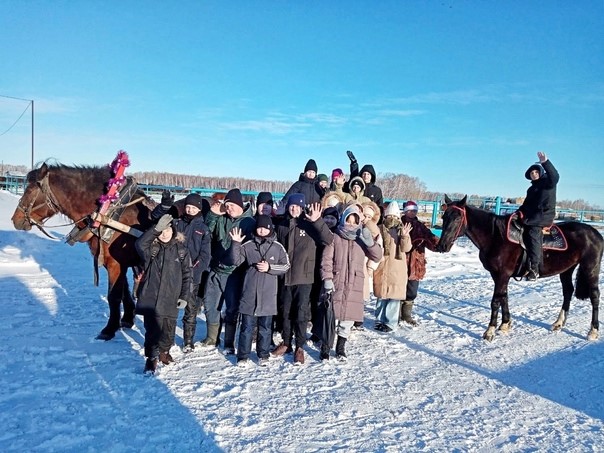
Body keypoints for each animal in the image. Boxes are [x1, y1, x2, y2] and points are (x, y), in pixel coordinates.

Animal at [11, 162, 156, 340]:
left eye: (31, 190)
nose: (15, 219)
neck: (110, 215)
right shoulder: (118, 264)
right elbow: (124, 292)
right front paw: (127, 319)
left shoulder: (115, 264)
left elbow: (114, 296)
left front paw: (109, 329)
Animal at [436, 194, 600, 340]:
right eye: (444, 217)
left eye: (458, 217)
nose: (442, 245)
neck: (495, 237)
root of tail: (595, 233)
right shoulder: (498, 275)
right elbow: (504, 297)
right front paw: (505, 324)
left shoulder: (503, 274)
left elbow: (495, 301)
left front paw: (490, 331)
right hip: (566, 270)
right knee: (568, 291)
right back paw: (558, 323)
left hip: (591, 268)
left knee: (594, 296)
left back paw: (593, 331)